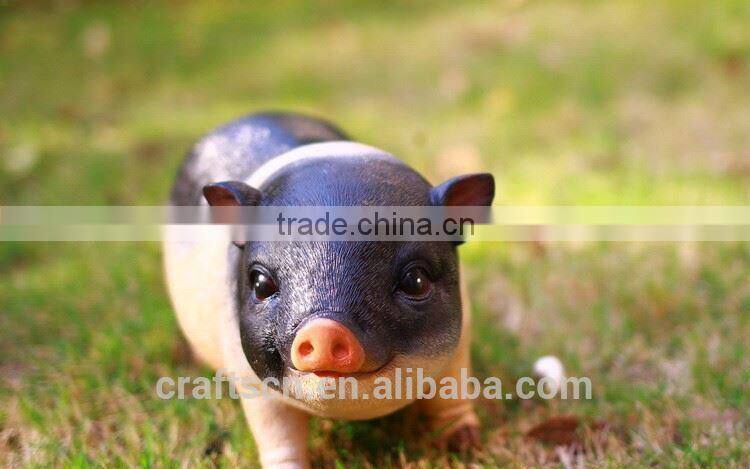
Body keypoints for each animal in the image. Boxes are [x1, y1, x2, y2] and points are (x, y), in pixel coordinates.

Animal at [163, 112, 494, 467]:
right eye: (261, 283)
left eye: (416, 280)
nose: (324, 329)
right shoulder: (248, 376)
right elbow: (277, 432)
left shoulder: (462, 341)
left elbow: (452, 391)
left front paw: (467, 445)